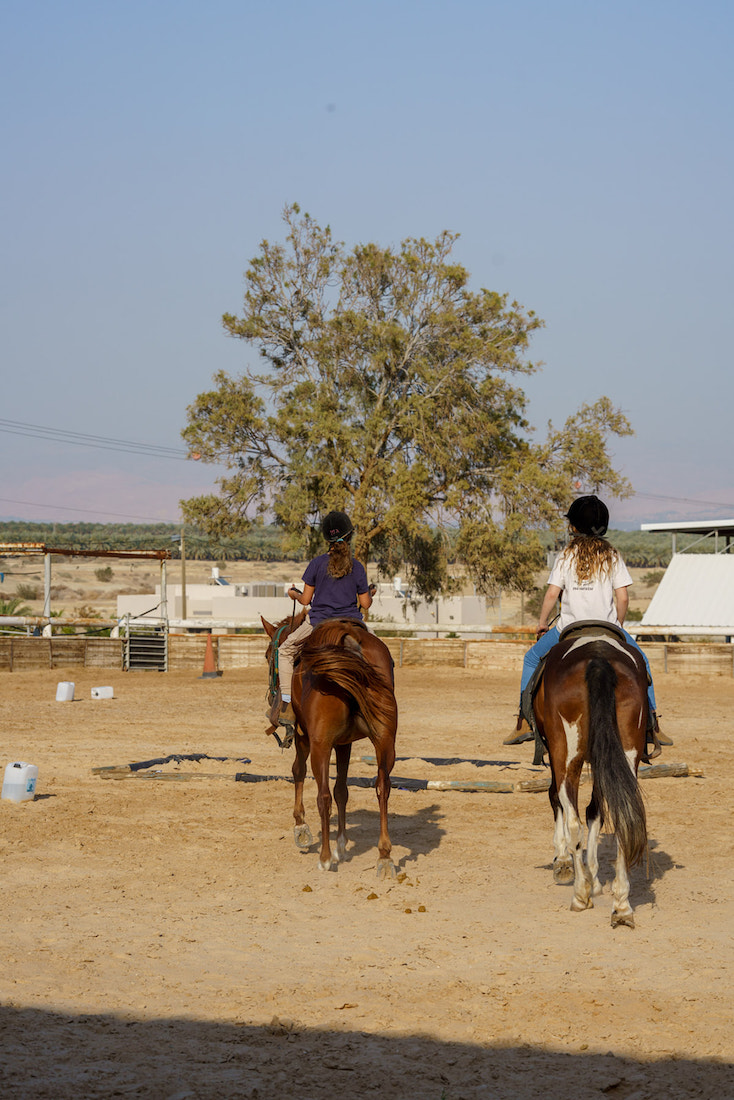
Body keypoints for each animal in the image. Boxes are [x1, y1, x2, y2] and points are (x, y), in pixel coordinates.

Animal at [260, 616, 398, 880]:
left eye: (267, 655)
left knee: (322, 795)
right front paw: (341, 845)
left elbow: (299, 772)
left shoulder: (306, 738)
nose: (272, 697)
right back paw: (384, 856)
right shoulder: (344, 744)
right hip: (385, 740)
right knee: (382, 787)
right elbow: (342, 790)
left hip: (320, 745)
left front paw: (301, 829)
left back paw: (324, 858)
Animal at [534, 624, 647, 924]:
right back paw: (622, 905)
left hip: (566, 755)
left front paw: (564, 862)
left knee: (571, 816)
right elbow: (596, 811)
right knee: (622, 815)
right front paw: (595, 880)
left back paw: (579, 894)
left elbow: (559, 802)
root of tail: (598, 658)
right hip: (626, 752)